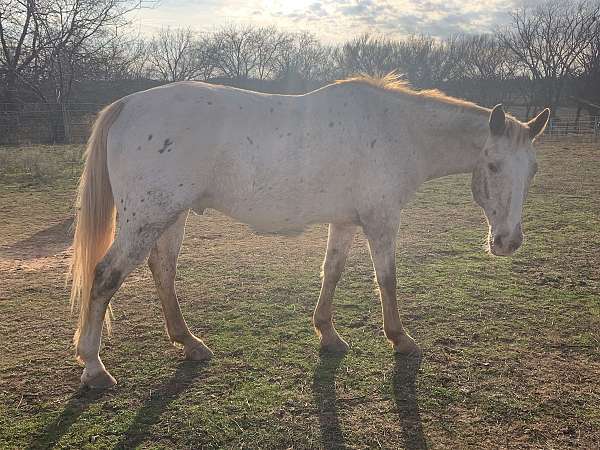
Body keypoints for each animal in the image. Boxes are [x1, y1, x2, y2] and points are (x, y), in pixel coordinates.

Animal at [68, 73, 552, 386]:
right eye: (493, 165)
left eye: (533, 170)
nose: (508, 242)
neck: (397, 129)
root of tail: (129, 104)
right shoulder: (381, 219)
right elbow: (387, 279)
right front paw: (400, 339)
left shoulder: (345, 220)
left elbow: (331, 272)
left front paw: (328, 334)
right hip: (147, 218)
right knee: (106, 276)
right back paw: (94, 367)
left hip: (171, 216)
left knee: (163, 271)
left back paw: (188, 343)